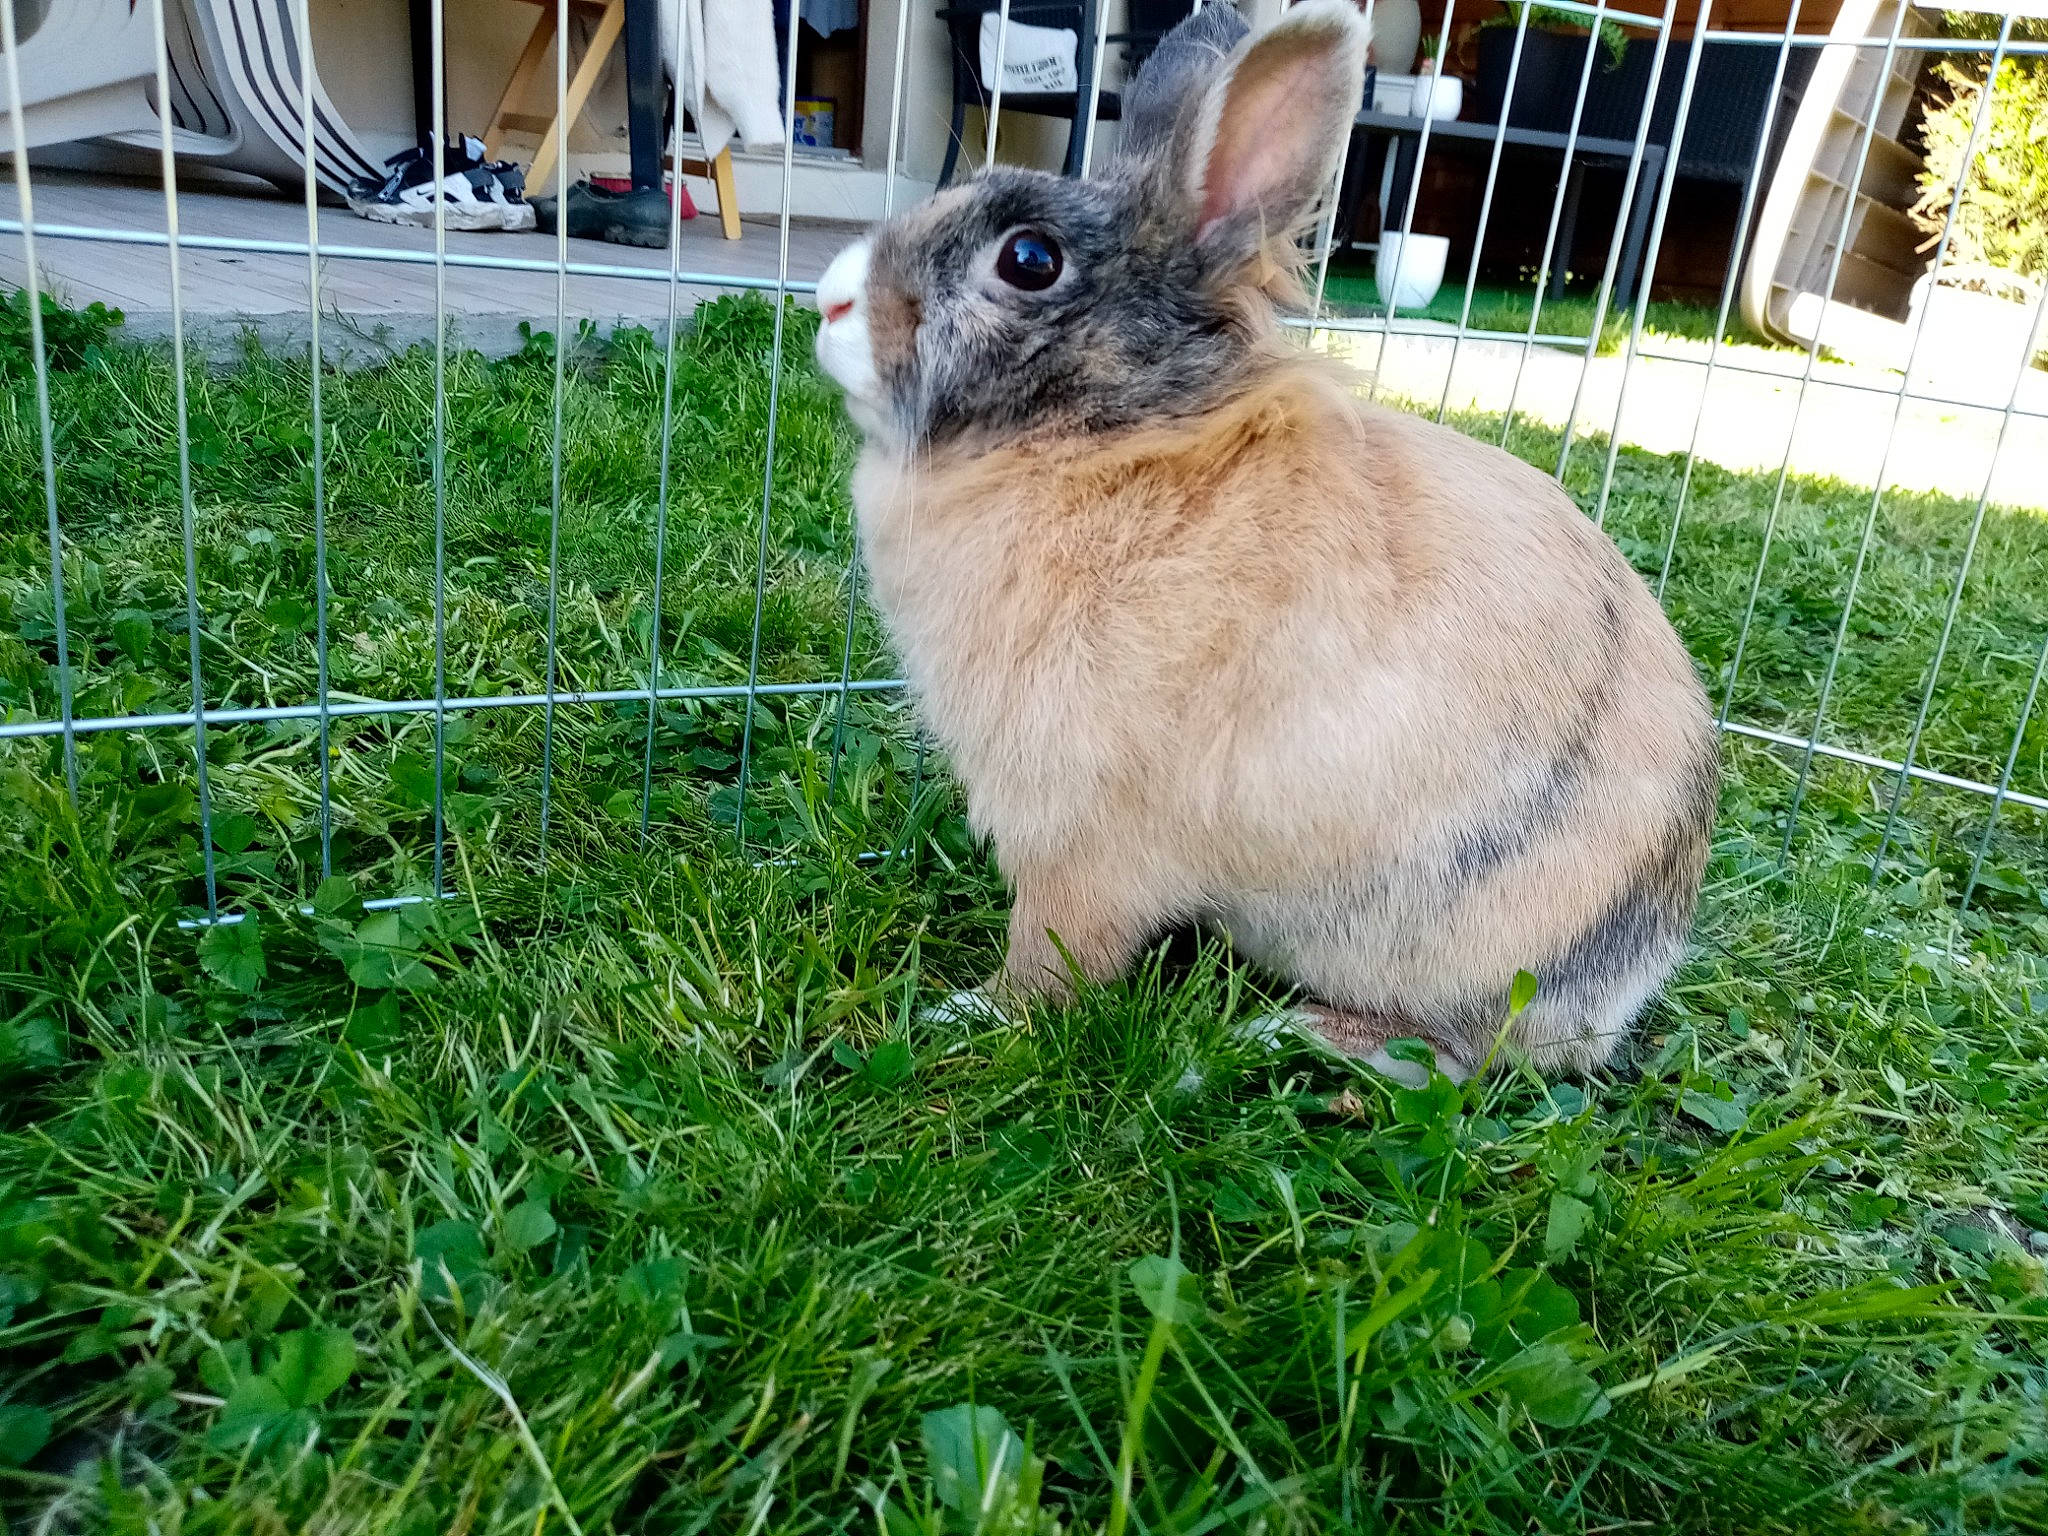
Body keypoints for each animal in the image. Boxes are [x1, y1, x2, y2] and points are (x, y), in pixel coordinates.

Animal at [810, 0, 1719, 1083]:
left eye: (1028, 260)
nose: (827, 301)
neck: (1112, 441)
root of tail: (1630, 977)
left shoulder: (1082, 843)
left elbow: (1052, 955)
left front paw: (974, 1014)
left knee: (1458, 1056)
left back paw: (1303, 1035)